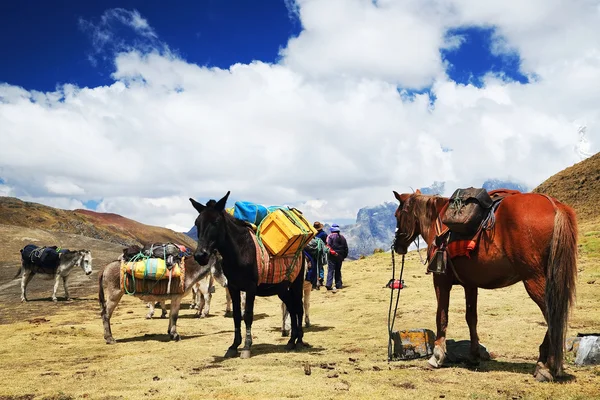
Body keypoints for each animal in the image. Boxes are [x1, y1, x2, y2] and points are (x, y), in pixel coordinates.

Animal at [392, 189, 580, 382]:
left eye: (397, 215)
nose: (397, 245)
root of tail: (555, 205)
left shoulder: (441, 280)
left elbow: (442, 316)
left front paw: (437, 355)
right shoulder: (470, 284)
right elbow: (471, 318)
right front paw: (474, 356)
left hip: (534, 280)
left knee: (553, 316)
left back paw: (547, 366)